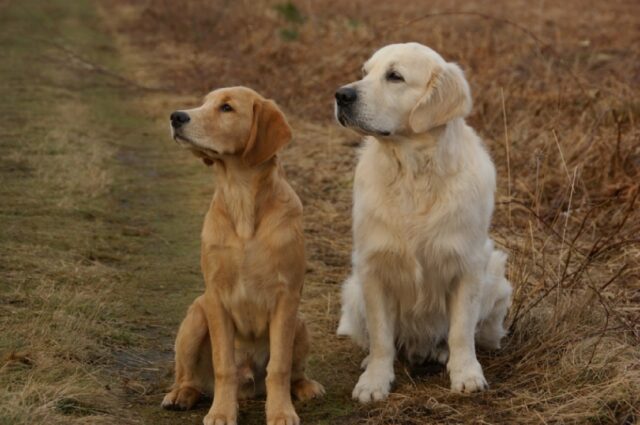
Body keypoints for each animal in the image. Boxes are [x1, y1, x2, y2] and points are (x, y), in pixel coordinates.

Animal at [164, 87, 324, 424]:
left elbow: (279, 367)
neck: (241, 198)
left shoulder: (286, 297)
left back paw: (305, 386)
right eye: (204, 102)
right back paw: (181, 394)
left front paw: (280, 412)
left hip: (300, 323)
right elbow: (223, 366)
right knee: (190, 376)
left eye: (226, 108)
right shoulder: (215, 297)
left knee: (293, 372)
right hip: (195, 318)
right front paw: (221, 412)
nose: (176, 116)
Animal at [336, 43, 510, 400]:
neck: (413, 174)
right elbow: (381, 338)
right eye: (365, 73)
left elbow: (461, 331)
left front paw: (466, 373)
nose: (341, 95)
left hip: (497, 278)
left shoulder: (468, 266)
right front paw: (374, 381)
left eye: (395, 76)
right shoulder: (373, 267)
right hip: (353, 291)